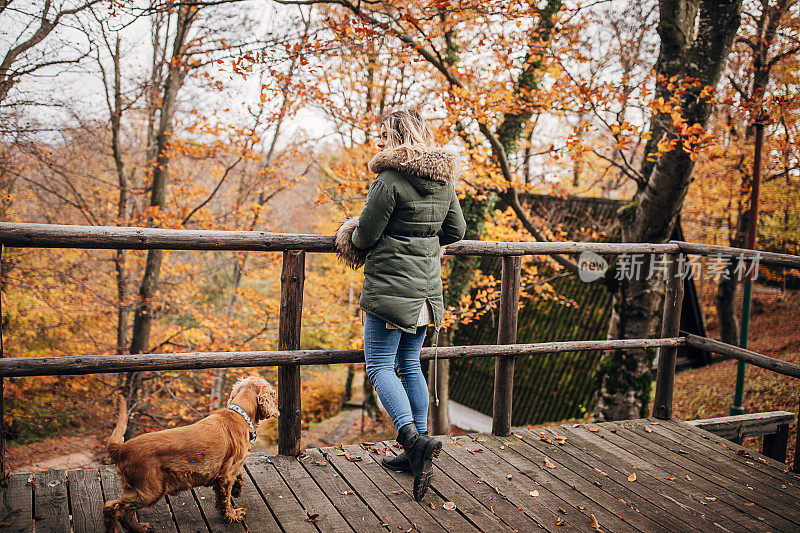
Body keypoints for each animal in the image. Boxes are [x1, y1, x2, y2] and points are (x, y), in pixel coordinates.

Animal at [103, 376, 280, 528]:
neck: (240, 414)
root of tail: (122, 448)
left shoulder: (227, 469)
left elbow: (238, 477)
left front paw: (237, 489)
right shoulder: (227, 474)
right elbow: (225, 499)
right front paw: (233, 514)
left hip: (138, 488)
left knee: (124, 513)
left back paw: (141, 528)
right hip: (149, 490)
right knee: (111, 508)